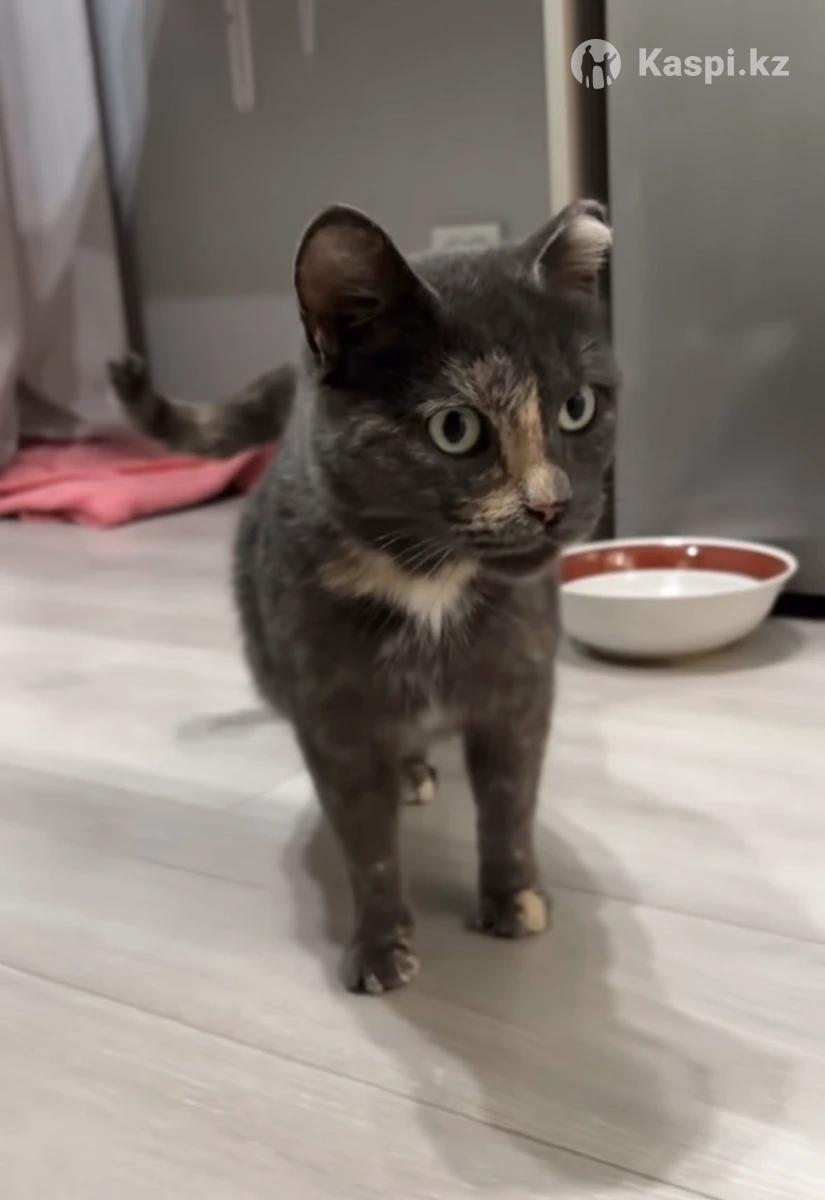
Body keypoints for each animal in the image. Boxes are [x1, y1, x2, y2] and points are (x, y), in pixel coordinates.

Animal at [109, 199, 618, 994]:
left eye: (577, 407)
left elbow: (509, 809)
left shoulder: (518, 696)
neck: (429, 586)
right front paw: (380, 948)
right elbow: (368, 845)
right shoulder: (335, 723)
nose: (552, 505)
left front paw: (514, 898)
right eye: (454, 427)